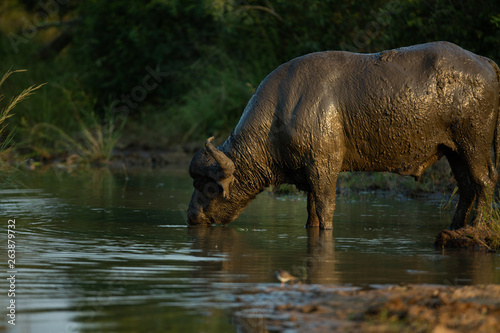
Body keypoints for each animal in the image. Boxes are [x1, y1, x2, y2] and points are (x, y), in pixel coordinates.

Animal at [188, 40, 500, 228]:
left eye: (207, 185)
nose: (191, 216)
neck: (281, 109)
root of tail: (485, 62)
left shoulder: (324, 168)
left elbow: (325, 209)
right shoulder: (309, 176)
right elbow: (311, 213)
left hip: (473, 144)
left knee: (484, 181)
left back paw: (476, 228)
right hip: (453, 151)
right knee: (467, 186)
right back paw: (456, 227)